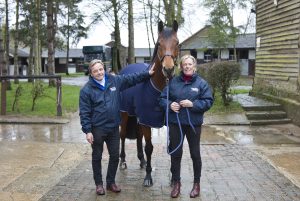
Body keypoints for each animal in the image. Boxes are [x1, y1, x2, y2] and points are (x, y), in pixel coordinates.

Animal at [119, 19, 179, 186]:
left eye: (177, 43)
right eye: (159, 43)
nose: (168, 70)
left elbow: (172, 147)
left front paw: (173, 177)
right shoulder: (147, 120)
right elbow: (150, 148)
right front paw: (148, 177)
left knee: (138, 136)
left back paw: (142, 160)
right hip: (124, 113)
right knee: (122, 135)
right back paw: (123, 161)